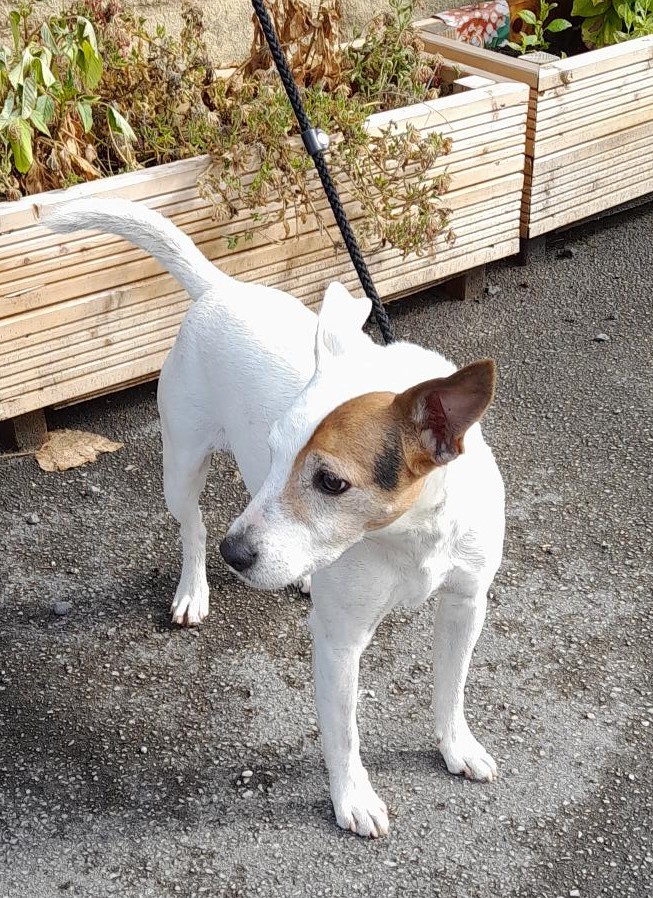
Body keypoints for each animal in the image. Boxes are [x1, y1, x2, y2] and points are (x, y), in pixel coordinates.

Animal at [45, 200, 504, 836]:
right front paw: (352, 797)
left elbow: (451, 689)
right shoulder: (340, 640)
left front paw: (456, 746)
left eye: (331, 482)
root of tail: (221, 288)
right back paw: (195, 587)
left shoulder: (466, 604)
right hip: (181, 468)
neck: (409, 533)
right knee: (193, 527)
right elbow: (343, 734)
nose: (235, 557)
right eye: (277, 448)